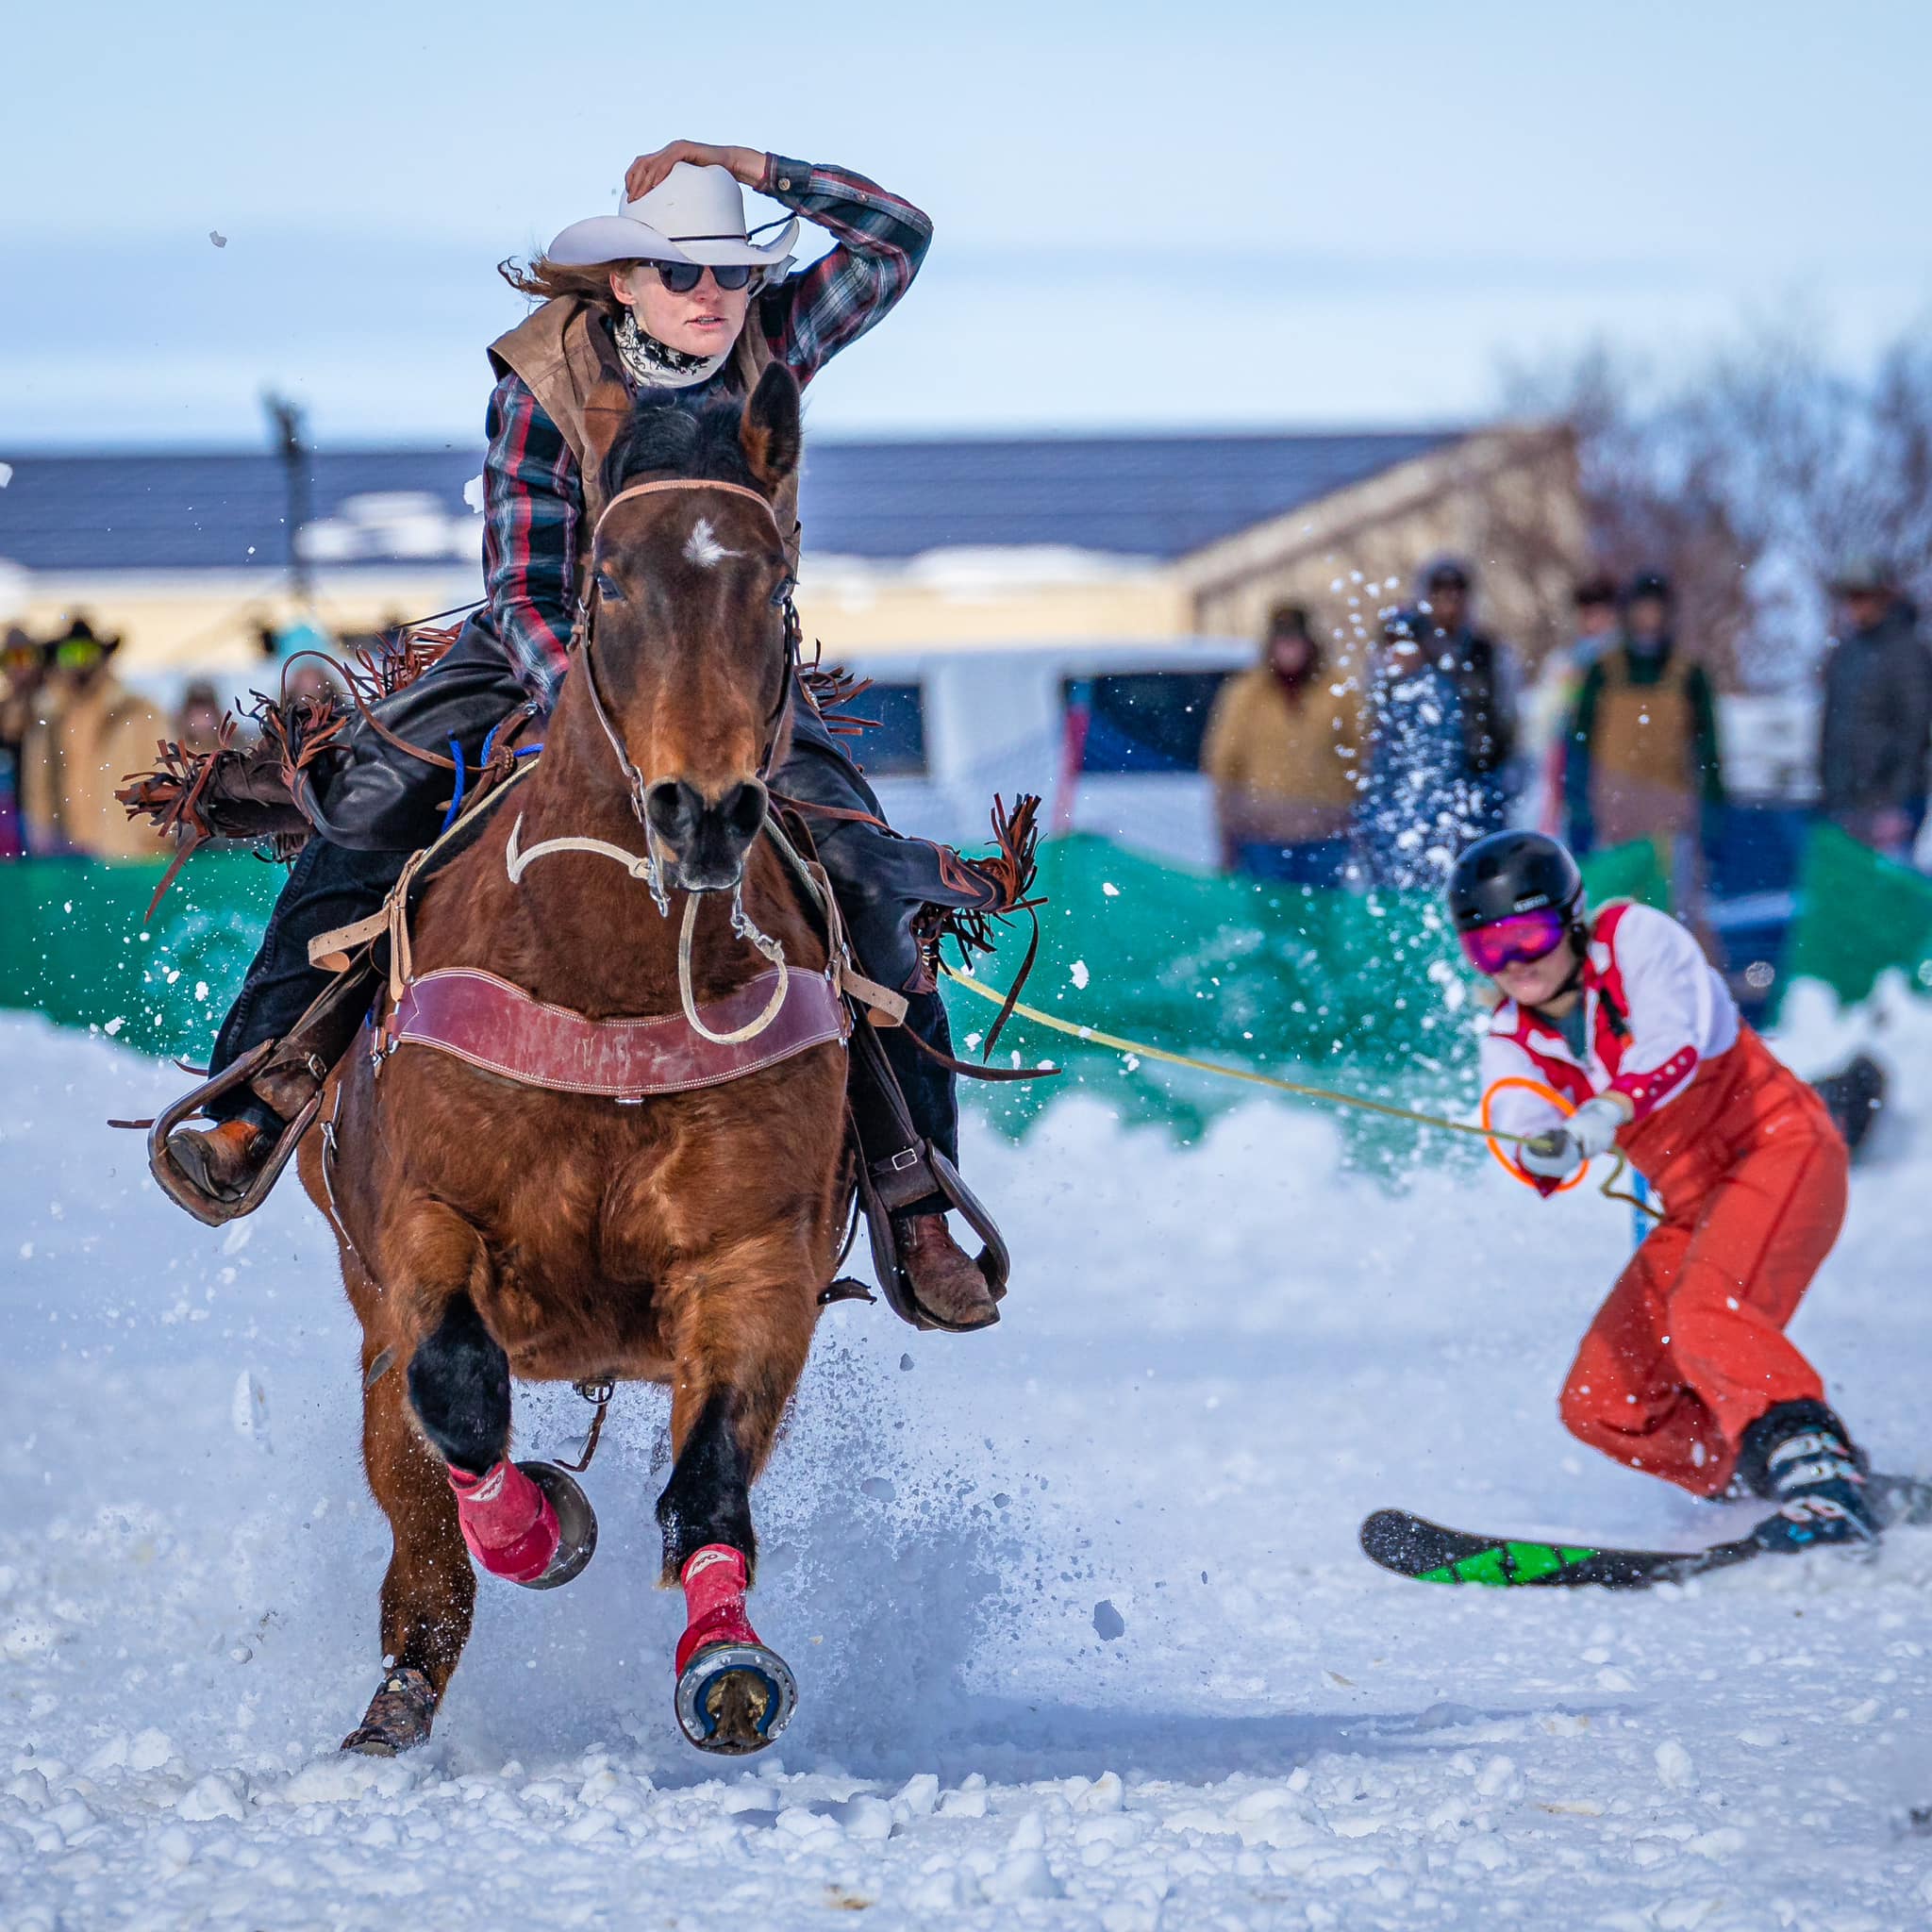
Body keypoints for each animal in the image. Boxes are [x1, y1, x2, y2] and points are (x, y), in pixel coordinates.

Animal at [295, 365, 854, 1769]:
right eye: (611, 577)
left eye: (773, 582)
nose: (702, 810)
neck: (607, 984)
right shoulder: (421, 1228)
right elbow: (456, 1392)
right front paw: (539, 1530)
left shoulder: (754, 1262)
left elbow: (710, 1476)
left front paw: (725, 1662)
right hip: (368, 1315)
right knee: (419, 1513)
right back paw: (396, 1703)